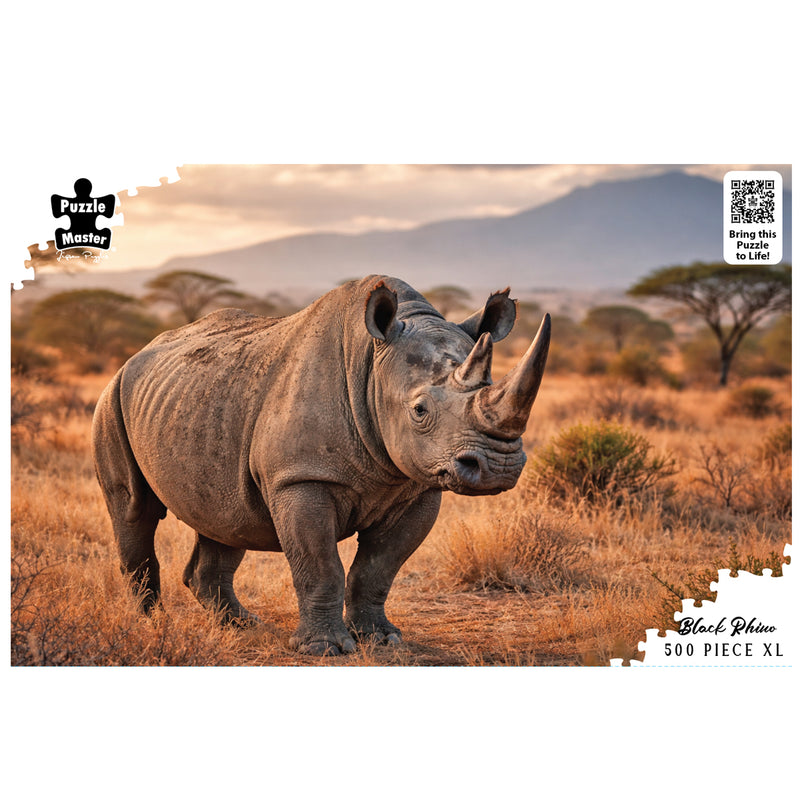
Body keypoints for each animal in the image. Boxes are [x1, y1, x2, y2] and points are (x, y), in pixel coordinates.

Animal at [92, 275, 550, 656]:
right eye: (419, 410)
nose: (499, 467)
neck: (373, 364)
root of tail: (137, 354)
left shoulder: (418, 486)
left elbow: (378, 568)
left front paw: (382, 639)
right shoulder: (300, 478)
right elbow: (320, 564)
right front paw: (325, 649)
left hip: (202, 401)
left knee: (225, 513)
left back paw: (242, 626)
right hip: (112, 398)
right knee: (133, 508)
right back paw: (151, 624)